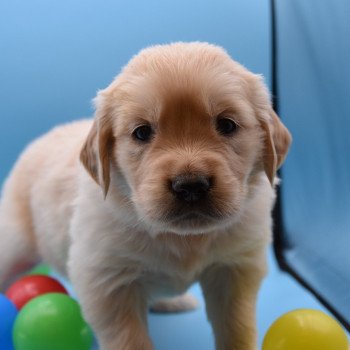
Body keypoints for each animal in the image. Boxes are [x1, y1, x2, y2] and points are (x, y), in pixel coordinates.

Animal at [0, 43, 290, 350]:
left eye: (227, 125)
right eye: (142, 132)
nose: (190, 186)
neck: (183, 238)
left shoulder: (235, 269)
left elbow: (237, 327)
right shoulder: (105, 281)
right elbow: (130, 339)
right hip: (15, 243)